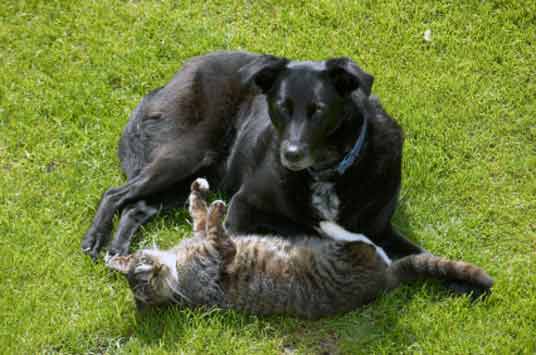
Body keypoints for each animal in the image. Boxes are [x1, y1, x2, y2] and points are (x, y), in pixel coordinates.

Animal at [81, 50, 422, 262]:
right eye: (282, 106)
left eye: (319, 110)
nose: (291, 155)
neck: (327, 171)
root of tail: (172, 78)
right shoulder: (242, 206)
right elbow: (291, 229)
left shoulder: (381, 230)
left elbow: (422, 254)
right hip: (184, 155)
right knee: (115, 193)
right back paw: (95, 238)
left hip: (190, 180)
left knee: (135, 207)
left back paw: (119, 250)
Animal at [105, 178, 494, 320]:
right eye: (145, 281)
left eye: (143, 262)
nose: (156, 269)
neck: (177, 266)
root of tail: (386, 281)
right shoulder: (218, 255)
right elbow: (218, 231)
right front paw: (217, 208)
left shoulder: (198, 234)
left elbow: (198, 213)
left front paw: (199, 191)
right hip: (348, 257)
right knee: (360, 240)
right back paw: (325, 219)